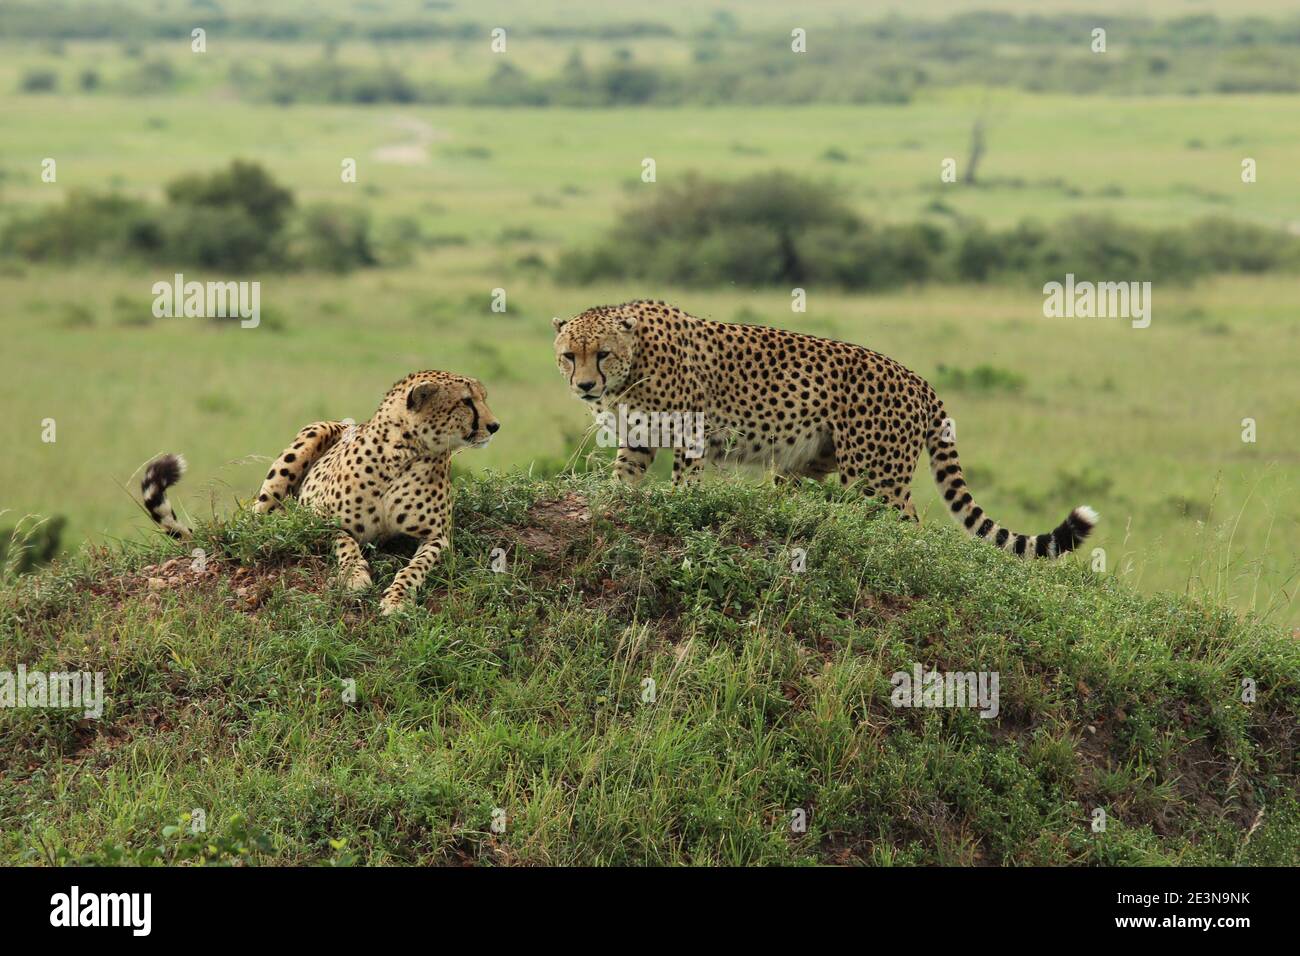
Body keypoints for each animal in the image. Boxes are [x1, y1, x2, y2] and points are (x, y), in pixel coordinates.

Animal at [141, 369, 496, 616]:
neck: (405, 453)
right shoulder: (320, 519)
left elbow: (415, 567)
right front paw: (354, 577)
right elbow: (346, 543)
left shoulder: (438, 537)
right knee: (255, 522)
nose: (495, 426)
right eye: (467, 401)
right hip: (309, 438)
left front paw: (398, 599)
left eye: (483, 397)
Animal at [556, 300, 1097, 561]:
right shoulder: (639, 435)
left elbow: (684, 485)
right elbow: (624, 477)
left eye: (601, 353)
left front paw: (679, 510)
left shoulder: (691, 432)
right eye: (568, 355)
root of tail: (917, 379)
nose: (584, 385)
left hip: (874, 477)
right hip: (810, 463)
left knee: (906, 524)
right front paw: (614, 501)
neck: (636, 361)